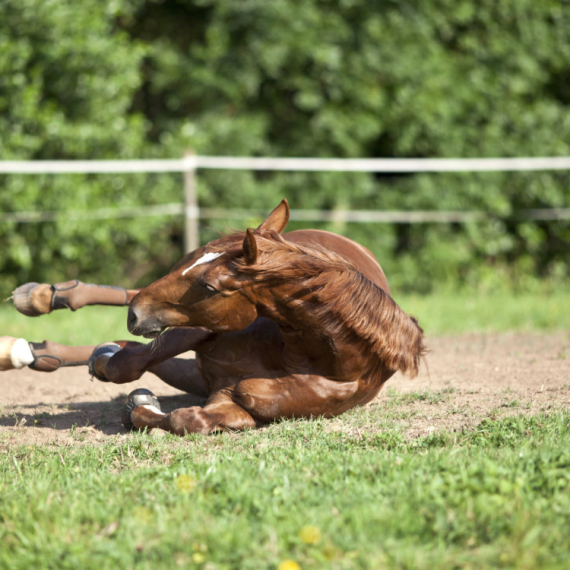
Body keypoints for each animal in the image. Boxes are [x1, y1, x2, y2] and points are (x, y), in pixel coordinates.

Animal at [0, 197, 422, 432]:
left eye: (209, 287)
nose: (135, 316)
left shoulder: (230, 402)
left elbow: (184, 418)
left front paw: (141, 404)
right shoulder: (201, 328)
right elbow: (129, 363)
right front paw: (110, 367)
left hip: (194, 369)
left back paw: (41, 351)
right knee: (131, 302)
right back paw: (43, 300)